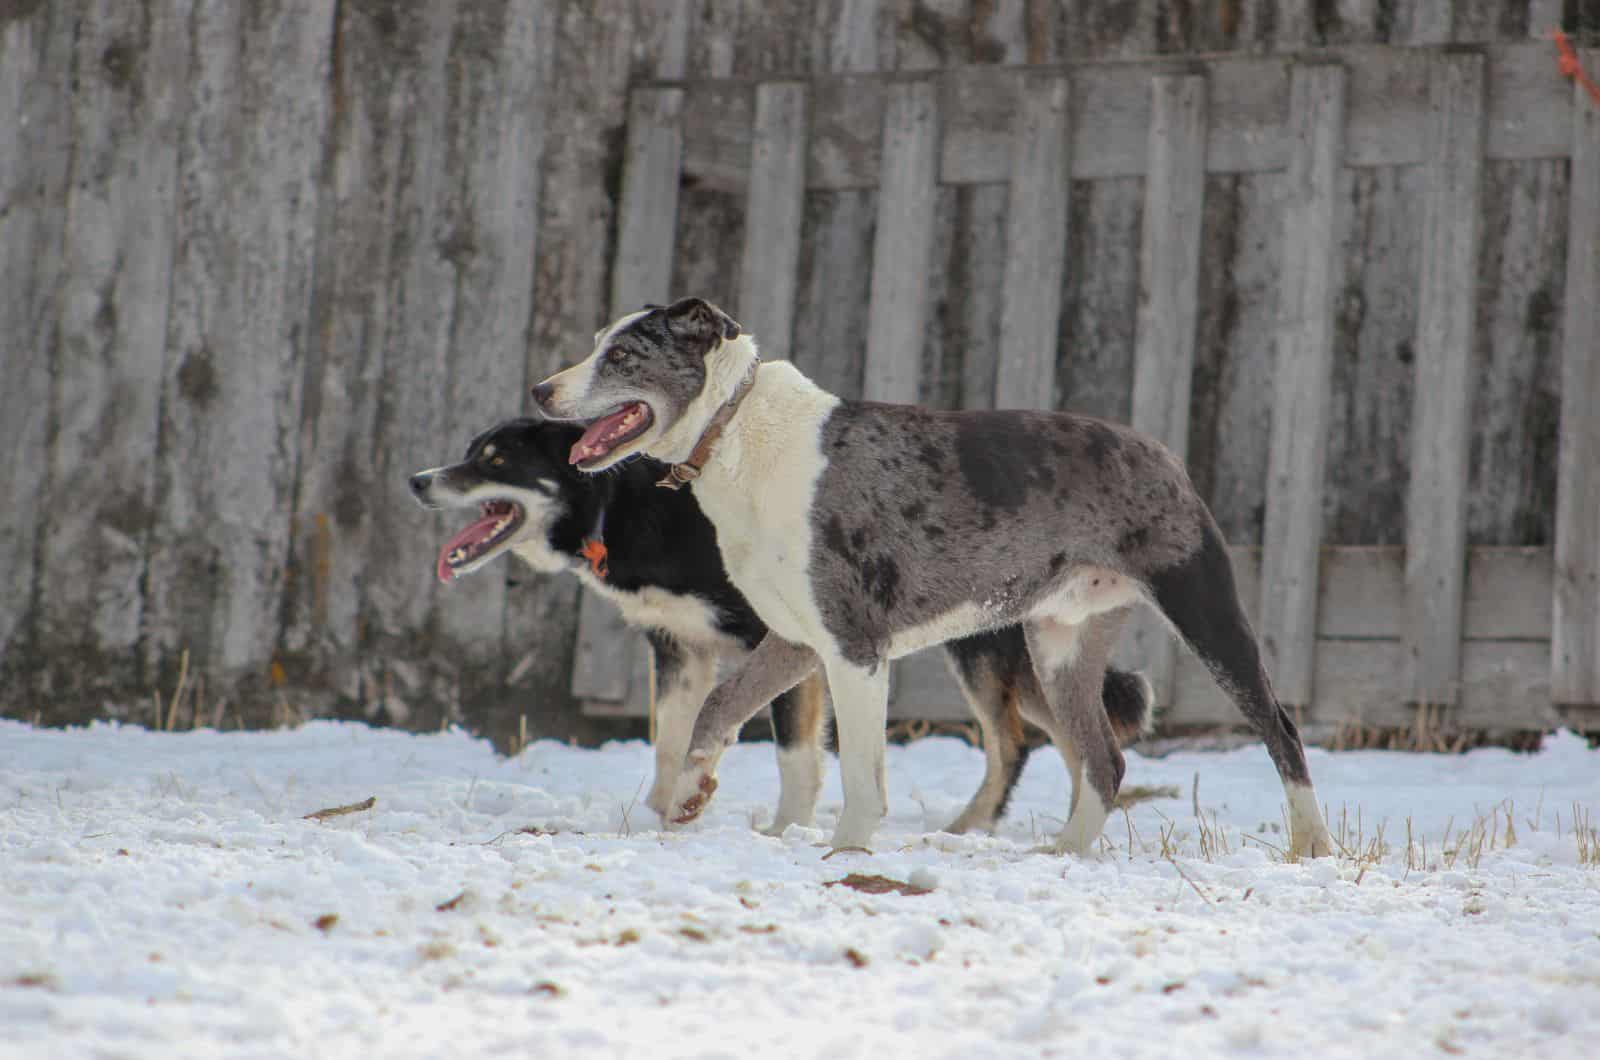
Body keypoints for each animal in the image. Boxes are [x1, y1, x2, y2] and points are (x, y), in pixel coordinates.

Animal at [400, 416, 1152, 839]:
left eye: (496, 462)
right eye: (471, 451)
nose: (417, 480)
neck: (623, 506)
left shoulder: (799, 645)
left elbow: (795, 753)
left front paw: (788, 829)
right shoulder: (679, 650)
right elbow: (673, 744)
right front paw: (662, 816)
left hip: (983, 649)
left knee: (1018, 741)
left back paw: (975, 828)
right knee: (1074, 739)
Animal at [534, 294, 1337, 858]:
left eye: (624, 352)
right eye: (599, 343)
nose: (542, 391)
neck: (734, 431)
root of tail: (1163, 452)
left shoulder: (854, 647)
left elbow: (859, 768)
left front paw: (848, 850)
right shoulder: (796, 639)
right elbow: (719, 707)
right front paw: (691, 795)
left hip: (1203, 607)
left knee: (1281, 728)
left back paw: (1311, 845)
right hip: (1062, 645)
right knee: (1103, 758)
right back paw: (1066, 853)